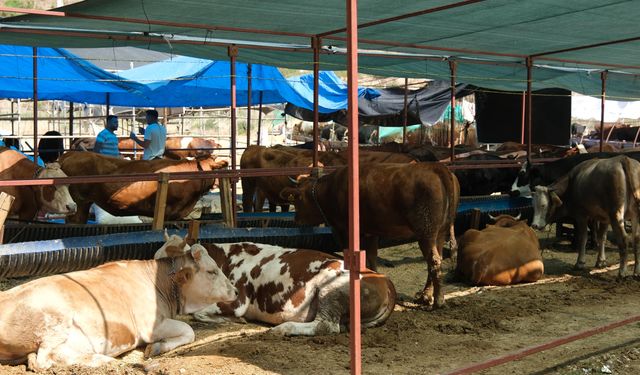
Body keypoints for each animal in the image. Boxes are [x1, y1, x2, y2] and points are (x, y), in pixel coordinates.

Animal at [0, 241, 238, 370]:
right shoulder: (149, 325)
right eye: (212, 271)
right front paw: (157, 347)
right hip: (56, 321)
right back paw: (107, 361)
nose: (235, 291)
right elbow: (189, 331)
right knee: (44, 358)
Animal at [155, 236, 396, 336]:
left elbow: (199, 314)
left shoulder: (237, 301)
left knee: (326, 326)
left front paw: (231, 320)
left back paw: (284, 328)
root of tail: (384, 279)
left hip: (331, 289)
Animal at [282, 164, 458, 308]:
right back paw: (425, 296)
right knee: (435, 260)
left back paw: (438, 300)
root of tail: (436, 168)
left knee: (433, 261)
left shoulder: (345, 231)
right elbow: (372, 257)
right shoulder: (371, 232)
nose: (295, 219)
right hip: (440, 232)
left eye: (297, 201)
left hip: (426, 232)